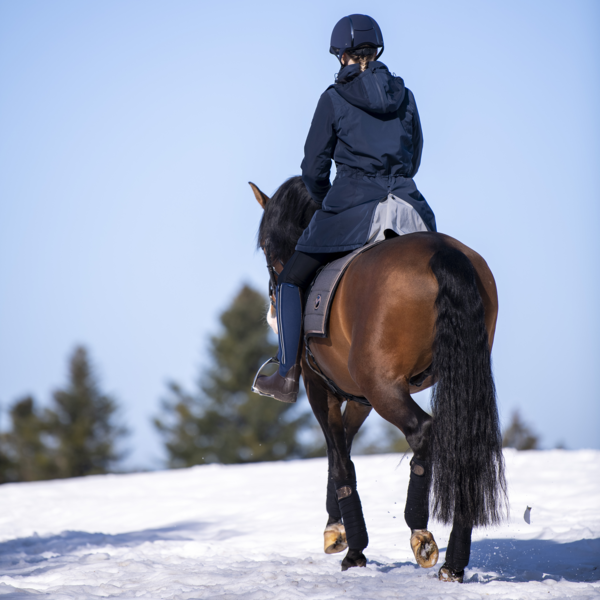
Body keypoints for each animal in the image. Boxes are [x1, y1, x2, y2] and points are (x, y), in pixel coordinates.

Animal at [248, 175, 506, 580]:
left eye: (266, 245)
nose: (273, 314)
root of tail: (442, 252)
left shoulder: (320, 388)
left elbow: (339, 458)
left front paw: (352, 549)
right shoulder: (358, 398)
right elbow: (344, 449)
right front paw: (337, 530)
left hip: (382, 387)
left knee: (423, 431)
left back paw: (421, 533)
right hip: (452, 380)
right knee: (462, 446)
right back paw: (453, 563)